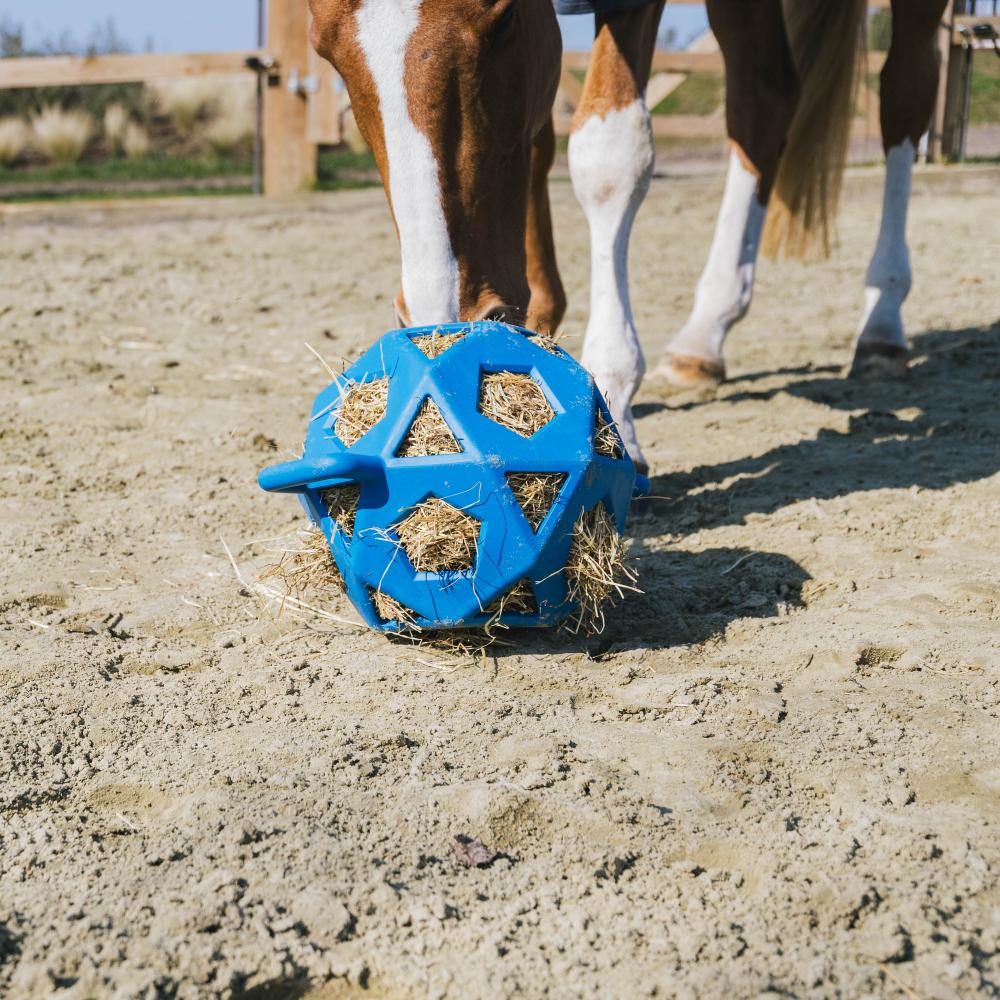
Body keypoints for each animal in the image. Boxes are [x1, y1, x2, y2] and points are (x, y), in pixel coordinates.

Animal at [308, 0, 948, 473]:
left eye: (504, 19)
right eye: (323, 50)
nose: (443, 320)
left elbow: (607, 154)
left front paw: (612, 399)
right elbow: (541, 140)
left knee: (906, 90)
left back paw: (882, 319)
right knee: (765, 98)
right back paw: (704, 335)